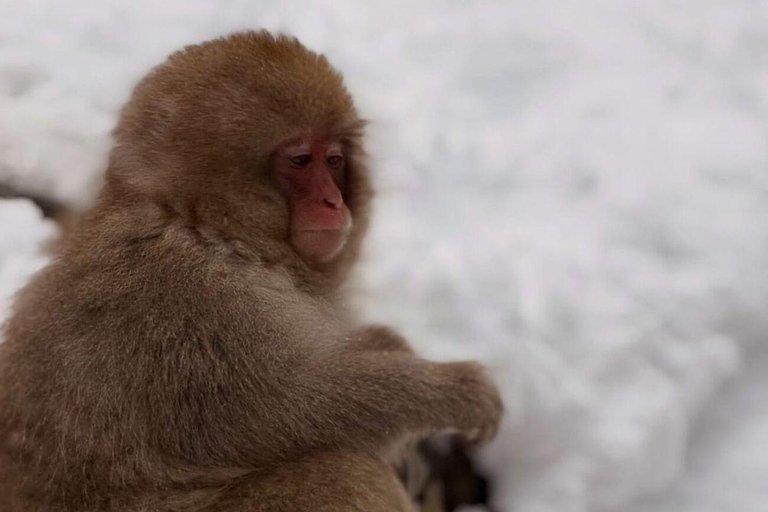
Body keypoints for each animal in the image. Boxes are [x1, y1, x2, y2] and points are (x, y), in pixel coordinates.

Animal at [0, 31, 502, 512]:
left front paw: (386, 344)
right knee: (347, 474)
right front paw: (449, 391)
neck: (202, 225)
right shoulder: (192, 303)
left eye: (334, 160)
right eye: (300, 160)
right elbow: (280, 412)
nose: (333, 202)